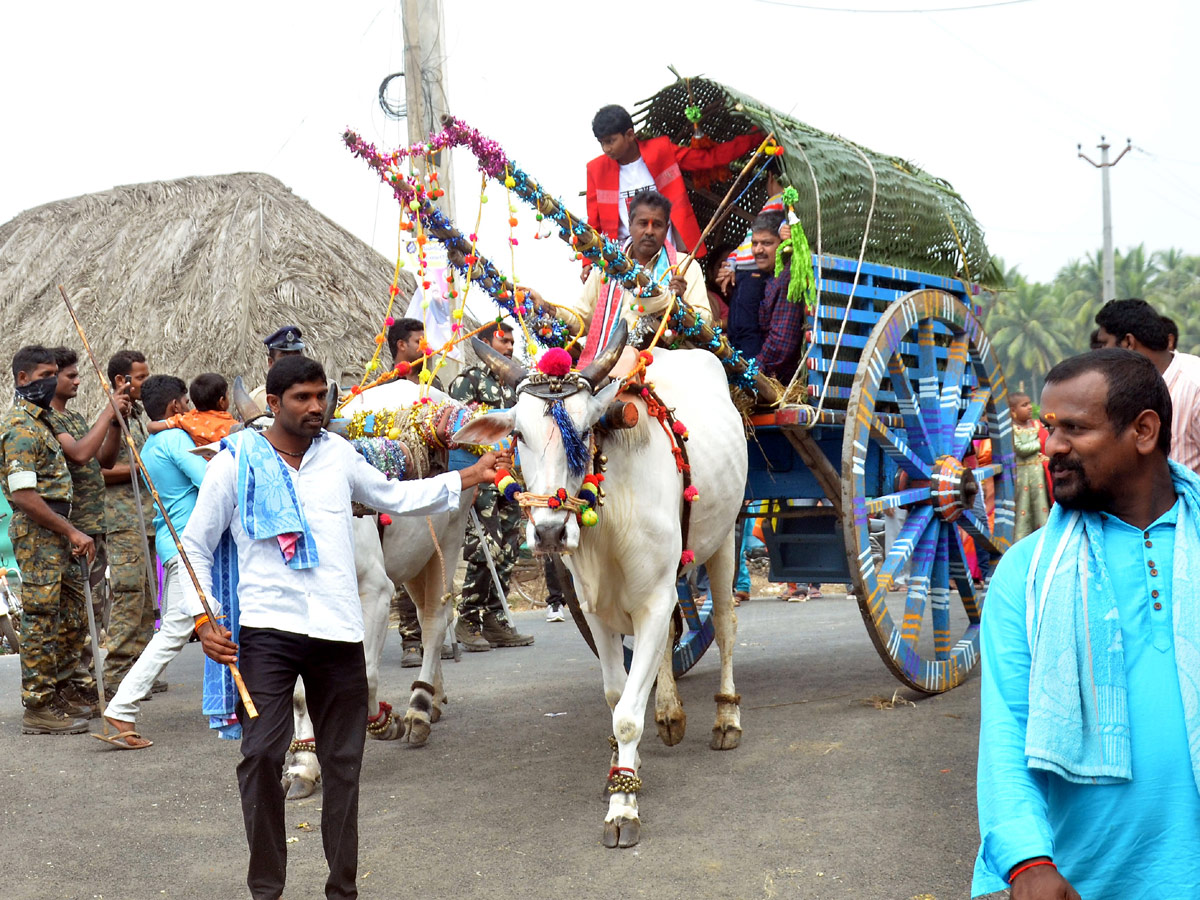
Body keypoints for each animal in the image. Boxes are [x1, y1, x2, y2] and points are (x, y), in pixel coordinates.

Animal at [283, 376, 470, 801]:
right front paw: (303, 765)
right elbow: (300, 695)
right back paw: (435, 697)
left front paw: (383, 724)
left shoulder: (375, 592)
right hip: (414, 560)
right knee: (425, 615)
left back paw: (419, 708)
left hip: (448, 540)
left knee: (434, 621)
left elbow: (364, 675)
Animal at [453, 326, 744, 854]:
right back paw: (669, 714)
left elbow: (628, 714)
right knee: (674, 635)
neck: (607, 524)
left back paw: (727, 719)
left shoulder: (652, 598)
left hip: (724, 539)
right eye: (518, 434)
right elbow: (617, 694)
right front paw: (624, 765)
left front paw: (622, 807)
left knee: (725, 625)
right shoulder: (596, 608)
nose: (549, 532)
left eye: (586, 430)